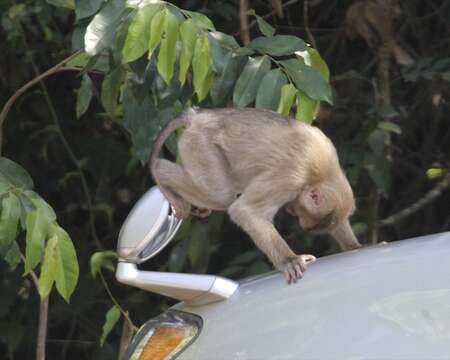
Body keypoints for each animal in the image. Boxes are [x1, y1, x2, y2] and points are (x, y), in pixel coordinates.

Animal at [151, 108, 362, 282]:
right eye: (298, 213)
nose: (293, 213)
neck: (321, 172)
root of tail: (197, 117)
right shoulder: (289, 177)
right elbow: (244, 211)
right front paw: (290, 260)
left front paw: (355, 247)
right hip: (200, 144)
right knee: (220, 194)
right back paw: (160, 172)